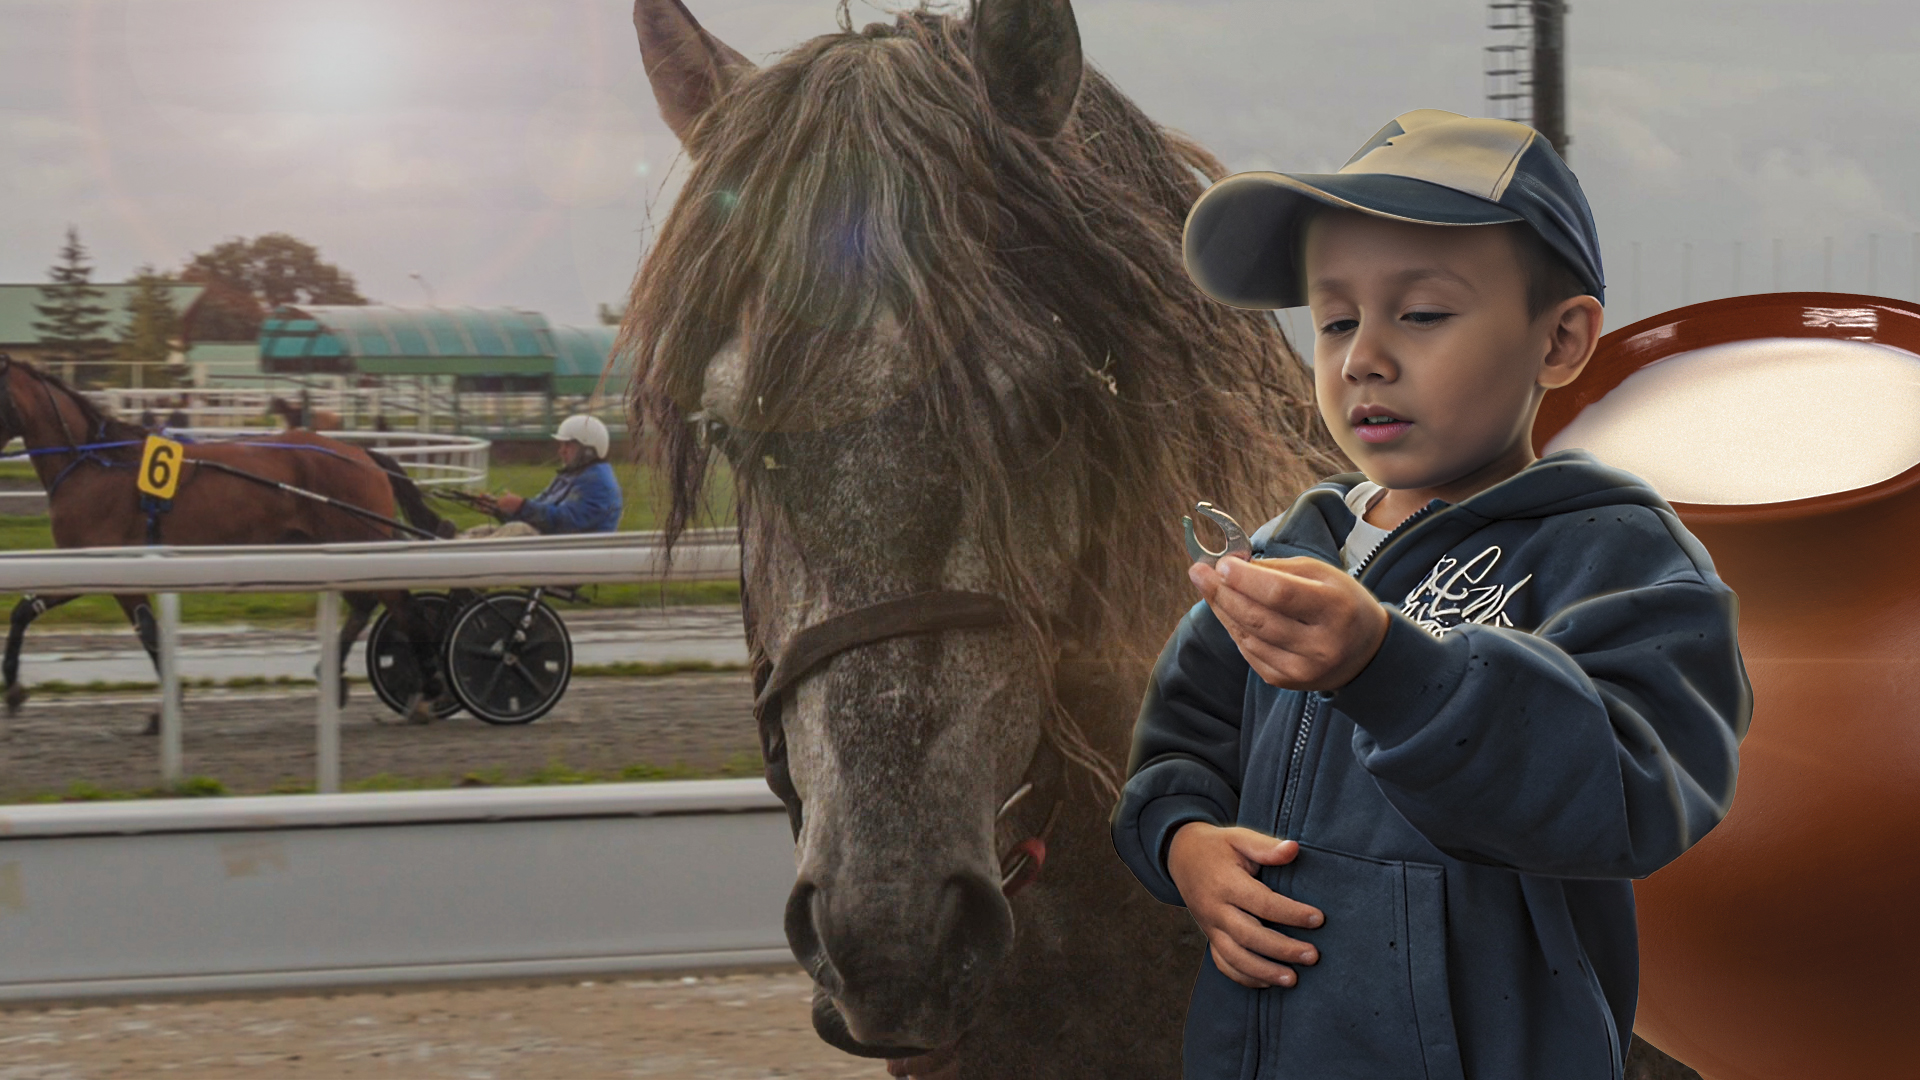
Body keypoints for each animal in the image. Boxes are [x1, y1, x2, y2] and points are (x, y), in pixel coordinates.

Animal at [0, 357, 453, 726]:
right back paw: (336, 678)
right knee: (369, 604)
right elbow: (29, 612)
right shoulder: (92, 565)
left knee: (404, 608)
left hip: (357, 538)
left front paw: (167, 710)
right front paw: (15, 690)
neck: (92, 462)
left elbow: (144, 633)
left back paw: (425, 693)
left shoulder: (108, 564)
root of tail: (362, 454)